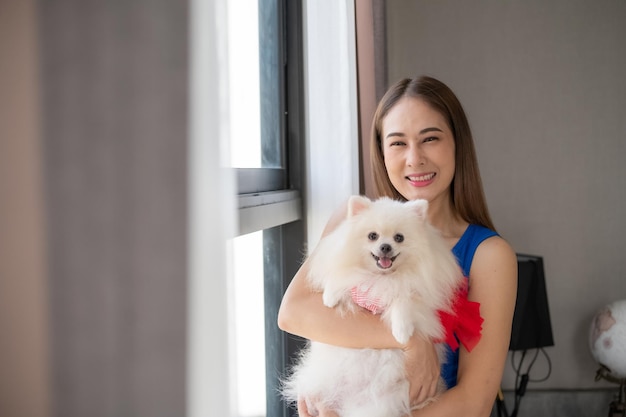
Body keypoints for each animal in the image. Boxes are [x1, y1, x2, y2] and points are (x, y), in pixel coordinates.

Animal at [282, 196, 464, 416]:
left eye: (399, 238)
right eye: (372, 236)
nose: (385, 246)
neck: (382, 277)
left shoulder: (417, 295)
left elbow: (402, 300)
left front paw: (402, 332)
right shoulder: (355, 280)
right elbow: (344, 278)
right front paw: (330, 297)